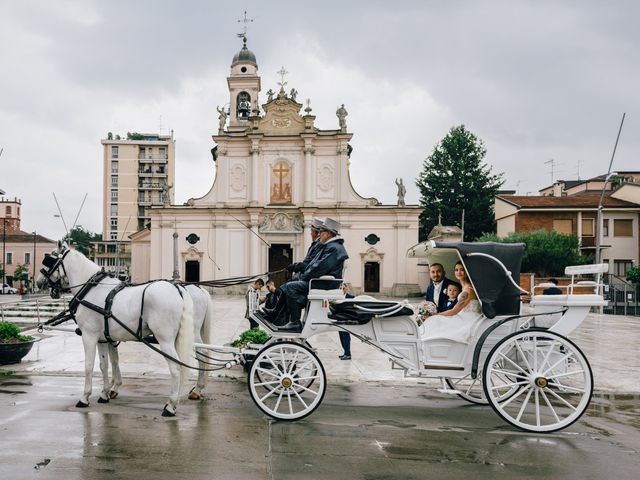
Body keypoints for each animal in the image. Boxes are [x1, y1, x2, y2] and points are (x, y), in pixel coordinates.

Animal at [37, 244, 198, 416]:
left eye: (49, 259)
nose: (39, 283)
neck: (91, 289)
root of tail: (178, 289)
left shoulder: (89, 335)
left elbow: (88, 365)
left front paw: (85, 397)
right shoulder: (103, 338)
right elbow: (105, 365)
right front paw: (104, 394)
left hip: (165, 340)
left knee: (176, 368)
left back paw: (170, 406)